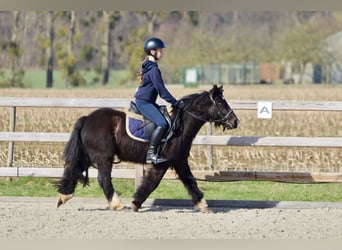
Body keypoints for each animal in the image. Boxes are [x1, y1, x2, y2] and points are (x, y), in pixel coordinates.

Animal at [54, 85, 239, 212]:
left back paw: (64, 196)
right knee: (103, 179)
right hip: (103, 157)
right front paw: (135, 203)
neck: (180, 125)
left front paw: (202, 204)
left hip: (89, 155)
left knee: (74, 169)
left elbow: (189, 181)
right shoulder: (163, 163)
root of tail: (87, 119)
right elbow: (152, 183)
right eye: (221, 102)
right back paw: (117, 204)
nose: (235, 121)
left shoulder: (179, 161)